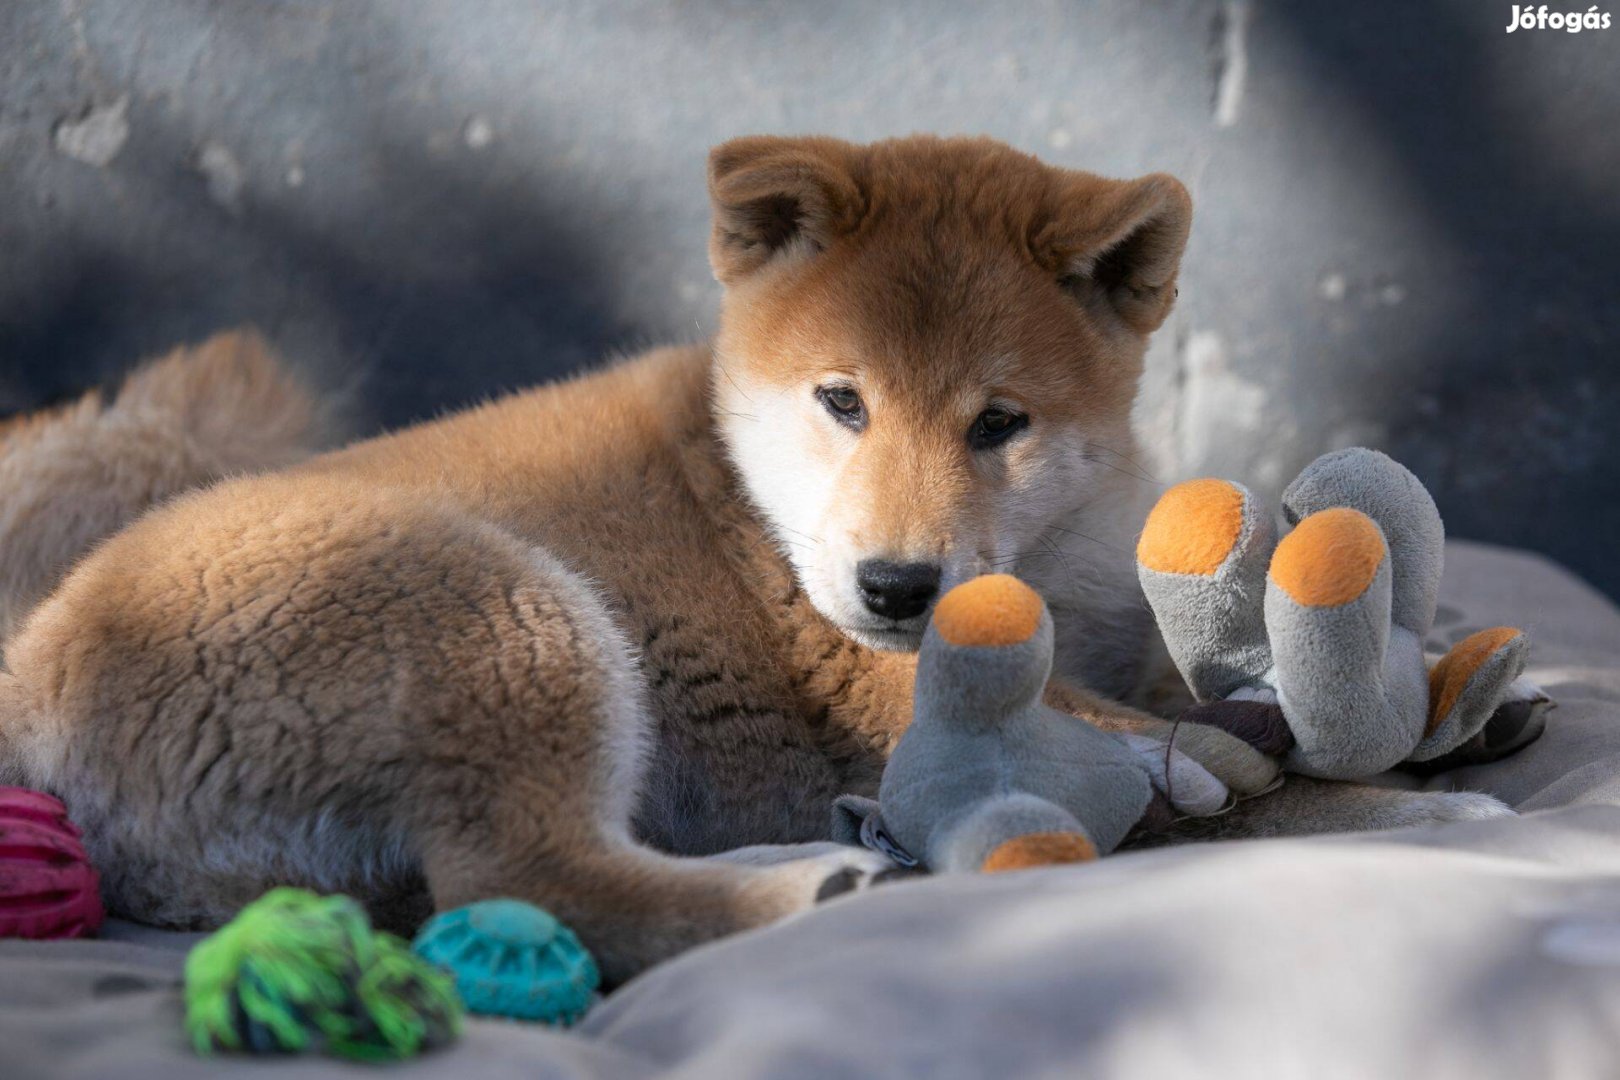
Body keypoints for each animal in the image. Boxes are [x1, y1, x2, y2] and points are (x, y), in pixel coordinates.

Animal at [0, 132, 1503, 977]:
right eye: (844, 402)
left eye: (1000, 422)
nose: (897, 590)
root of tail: (36, 667)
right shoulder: (910, 698)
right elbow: (1249, 793)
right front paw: (1408, 812)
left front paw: (1453, 709)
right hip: (509, 618)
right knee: (532, 881)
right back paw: (813, 882)